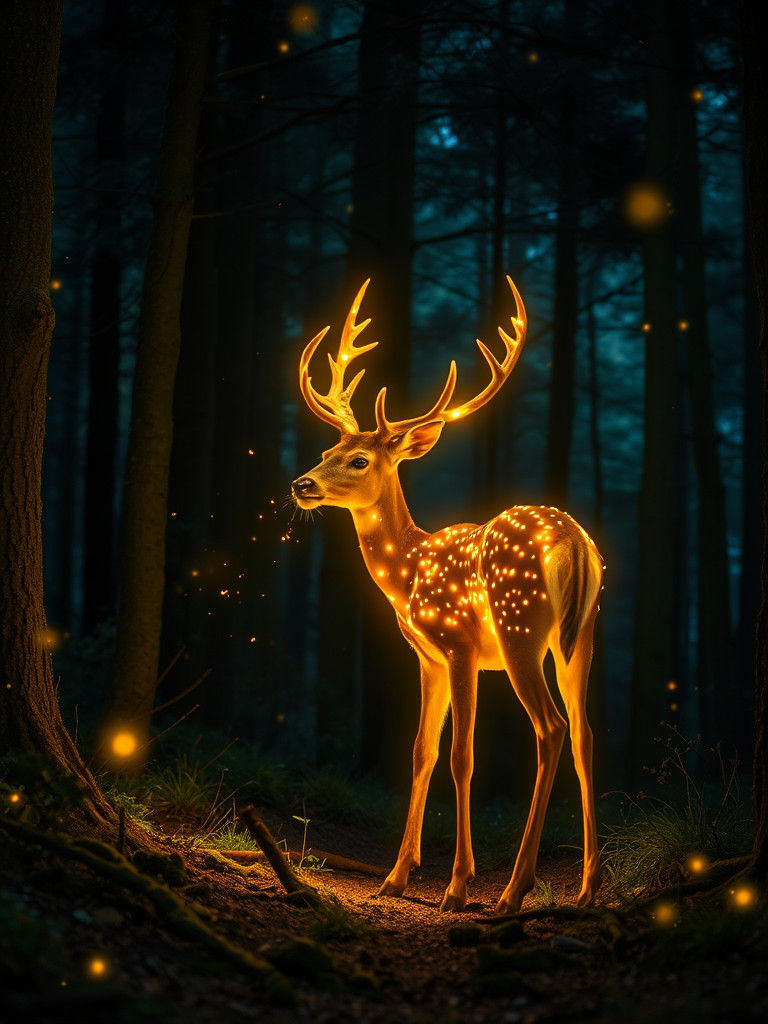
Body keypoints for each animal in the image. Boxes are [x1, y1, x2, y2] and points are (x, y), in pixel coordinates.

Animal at [291, 277, 604, 914]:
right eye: (325, 452)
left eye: (358, 459)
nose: (300, 484)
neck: (409, 570)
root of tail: (575, 544)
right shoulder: (427, 656)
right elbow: (420, 752)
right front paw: (396, 875)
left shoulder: (458, 643)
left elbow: (462, 757)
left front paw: (457, 884)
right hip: (581, 634)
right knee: (586, 735)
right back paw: (587, 887)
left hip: (518, 628)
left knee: (552, 728)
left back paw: (513, 888)